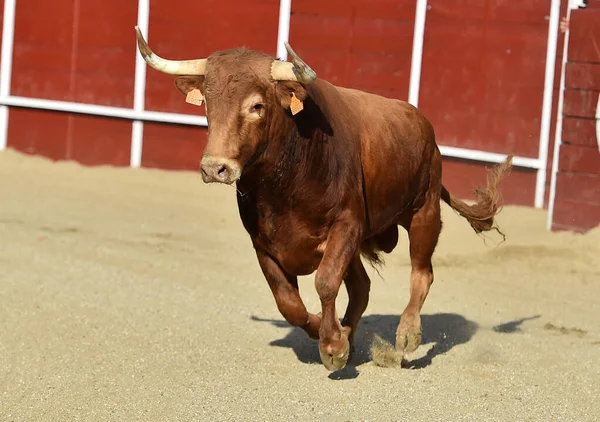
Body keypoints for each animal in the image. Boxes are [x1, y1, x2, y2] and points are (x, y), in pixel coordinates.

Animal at [135, 26, 510, 370]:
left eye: (256, 105)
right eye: (209, 105)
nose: (215, 168)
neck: (284, 186)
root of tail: (425, 127)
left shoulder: (345, 225)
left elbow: (326, 282)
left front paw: (332, 346)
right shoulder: (262, 242)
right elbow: (288, 302)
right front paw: (331, 336)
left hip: (424, 209)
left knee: (421, 272)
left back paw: (406, 335)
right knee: (361, 287)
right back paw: (351, 336)